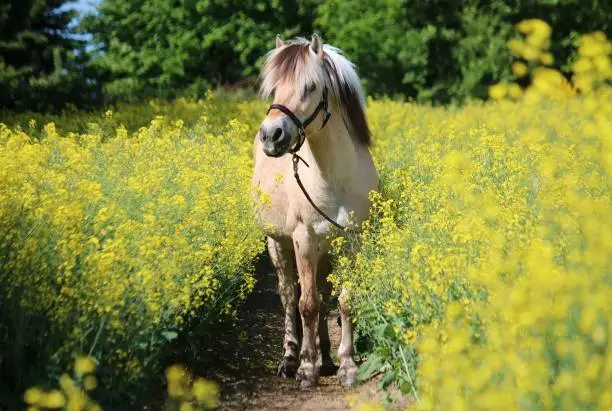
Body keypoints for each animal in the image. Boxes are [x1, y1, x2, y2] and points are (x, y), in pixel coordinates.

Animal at [250, 34, 378, 390]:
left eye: (310, 86)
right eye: (274, 87)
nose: (271, 136)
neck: (335, 177)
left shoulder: (350, 242)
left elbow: (344, 301)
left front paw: (347, 365)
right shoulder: (303, 239)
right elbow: (306, 305)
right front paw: (307, 370)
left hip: (325, 251)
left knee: (322, 294)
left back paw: (325, 355)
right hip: (278, 244)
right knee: (290, 296)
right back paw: (292, 358)